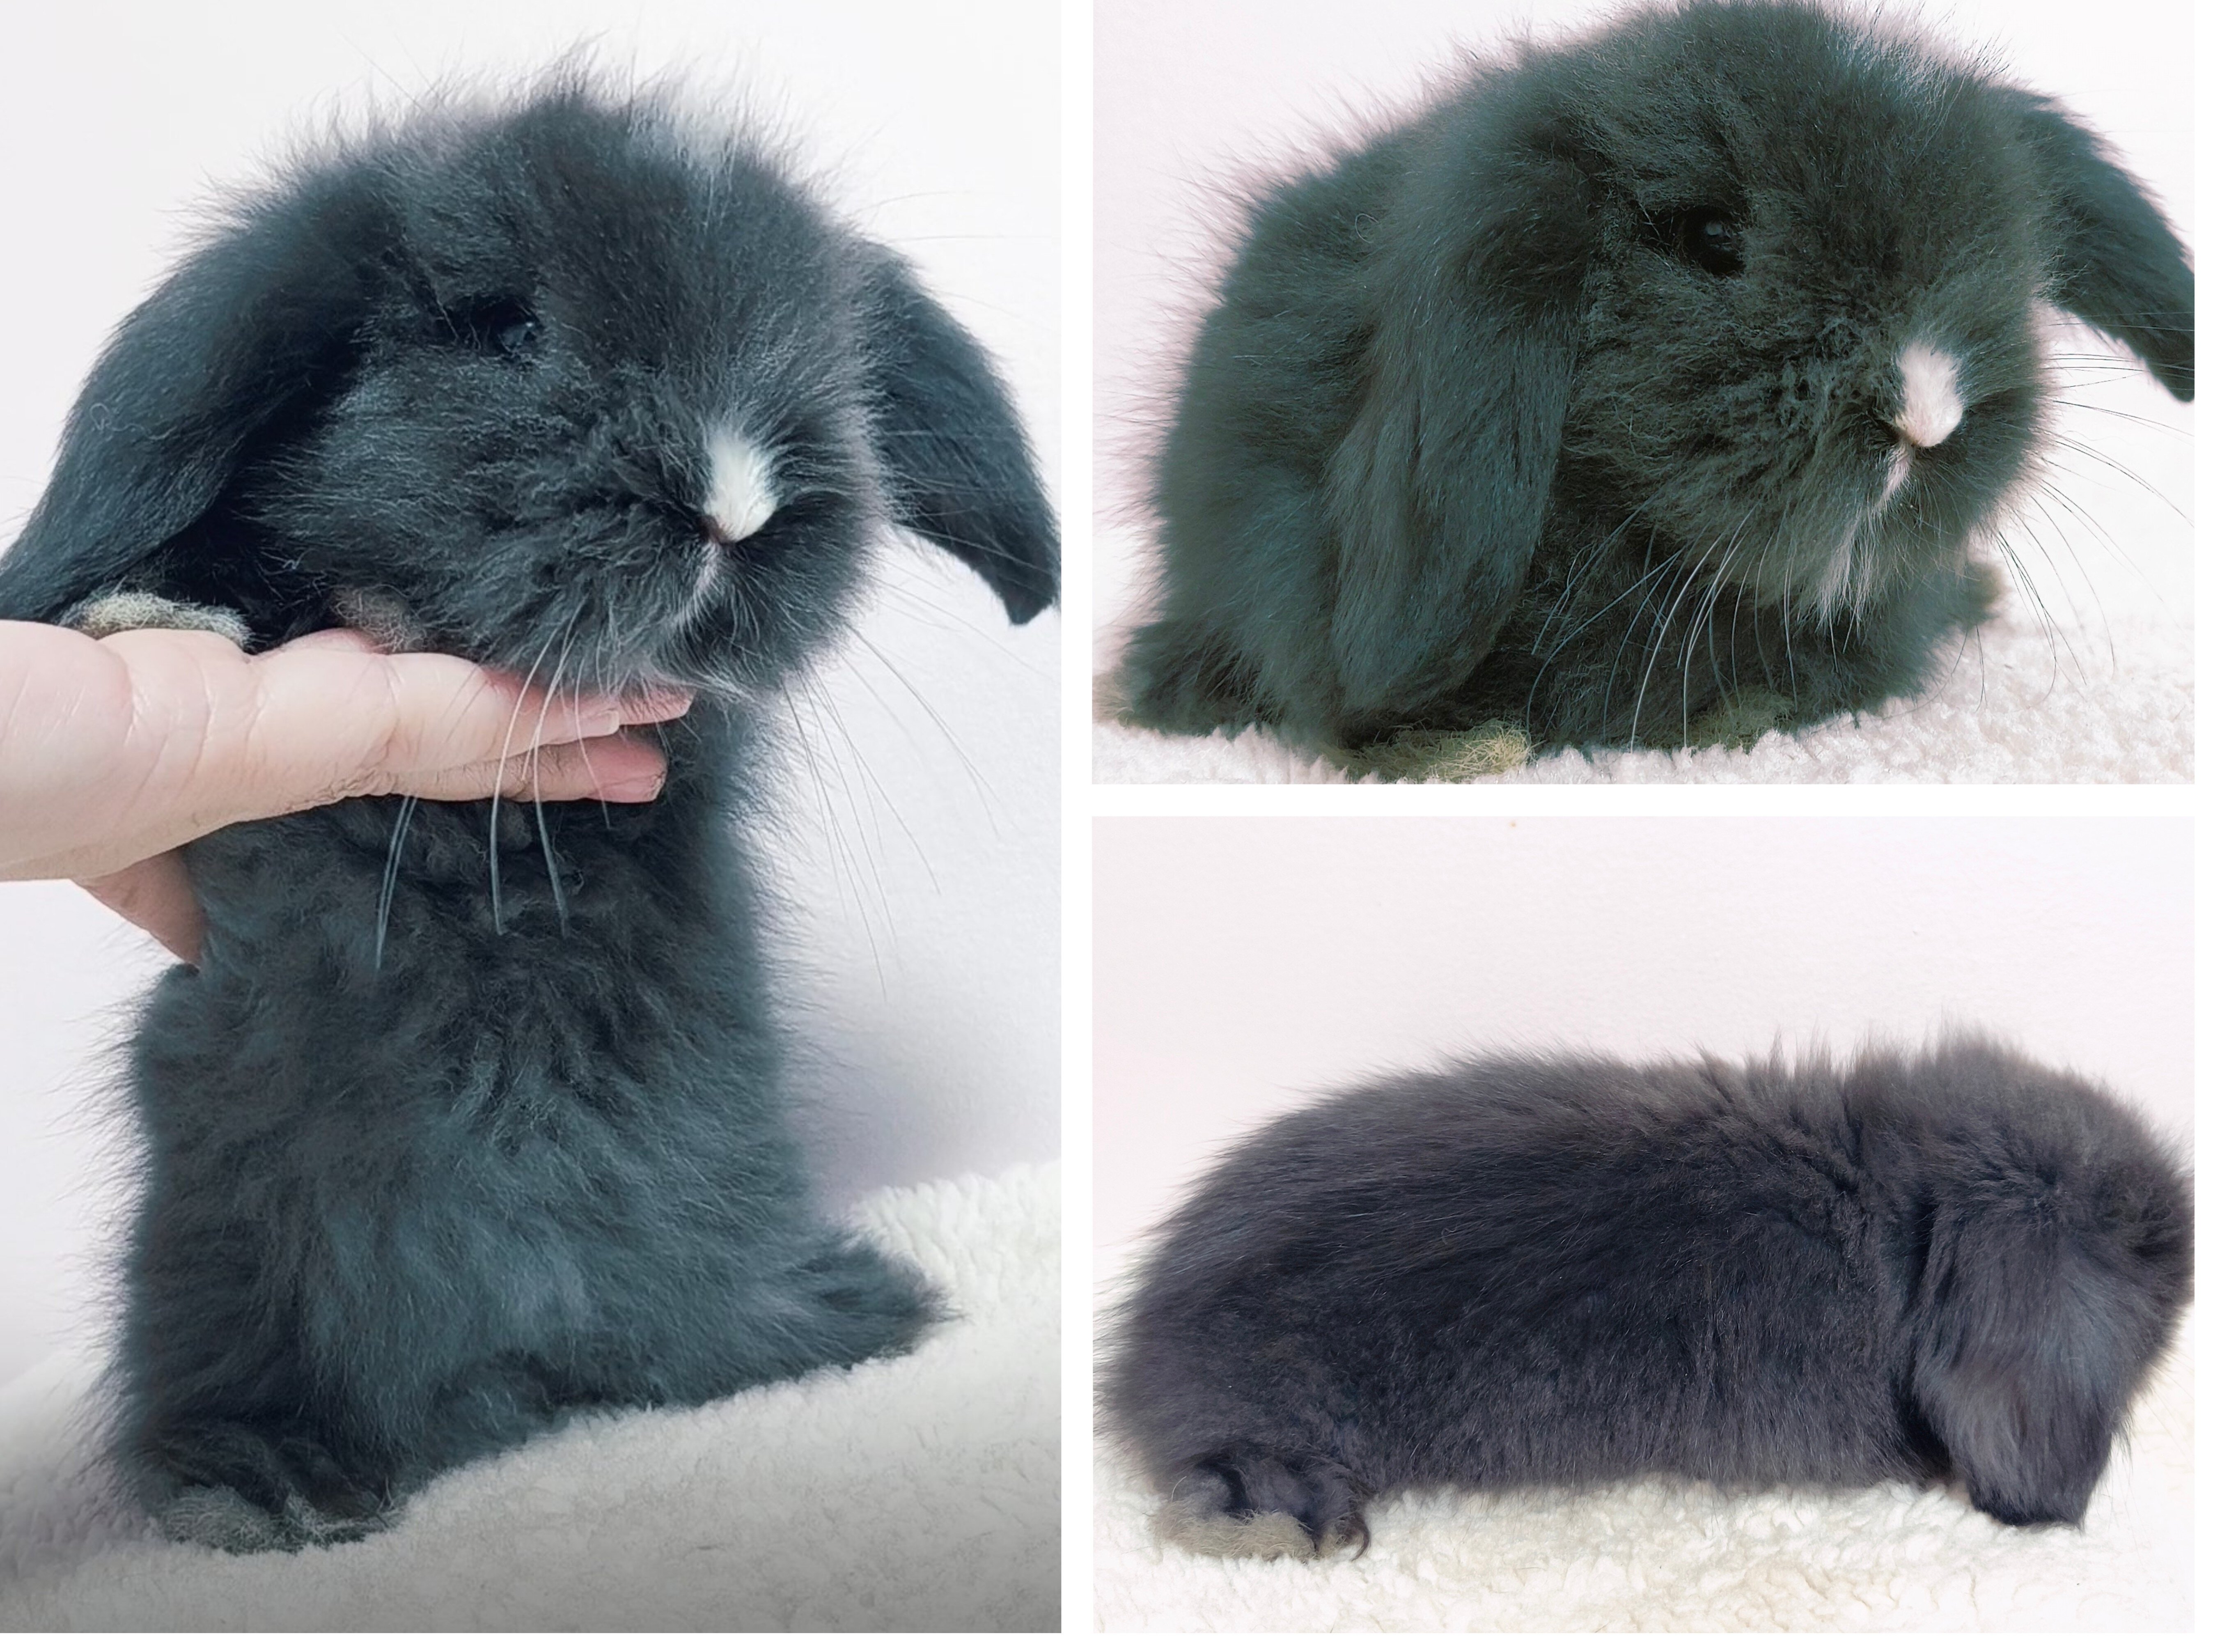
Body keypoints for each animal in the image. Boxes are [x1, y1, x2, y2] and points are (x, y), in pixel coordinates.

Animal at [0, 73, 1057, 1552]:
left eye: (831, 357)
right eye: (507, 329)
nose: (737, 498)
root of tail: (529, 1377)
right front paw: (150, 613)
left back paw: (835, 1313)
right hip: (221, 1245)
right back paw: (266, 1482)